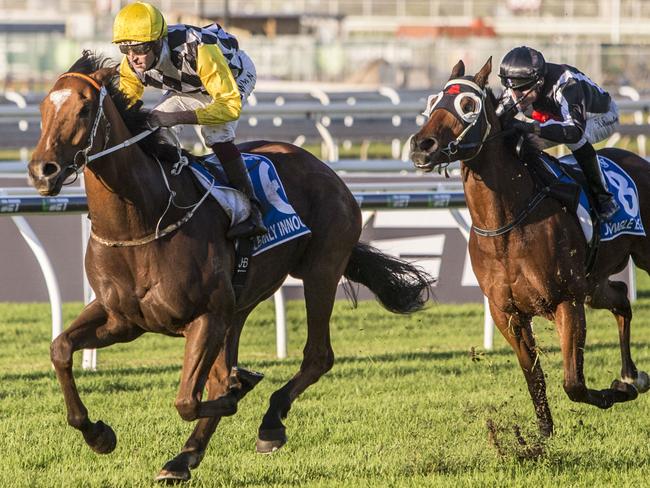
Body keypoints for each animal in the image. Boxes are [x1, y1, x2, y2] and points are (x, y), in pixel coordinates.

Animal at [27, 52, 432, 480]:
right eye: (43, 109)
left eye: (85, 108)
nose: (42, 170)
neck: (141, 223)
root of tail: (325, 170)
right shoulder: (121, 318)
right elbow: (60, 348)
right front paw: (98, 434)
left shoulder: (206, 316)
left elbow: (189, 399)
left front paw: (241, 389)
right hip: (241, 300)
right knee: (230, 369)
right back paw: (185, 456)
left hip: (320, 270)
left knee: (317, 355)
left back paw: (268, 422)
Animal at [410, 58, 648, 438]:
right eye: (433, 102)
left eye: (468, 104)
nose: (422, 145)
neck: (506, 227)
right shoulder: (507, 312)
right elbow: (532, 374)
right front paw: (542, 435)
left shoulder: (566, 300)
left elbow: (573, 383)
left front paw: (615, 394)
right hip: (593, 284)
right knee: (622, 297)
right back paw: (631, 375)